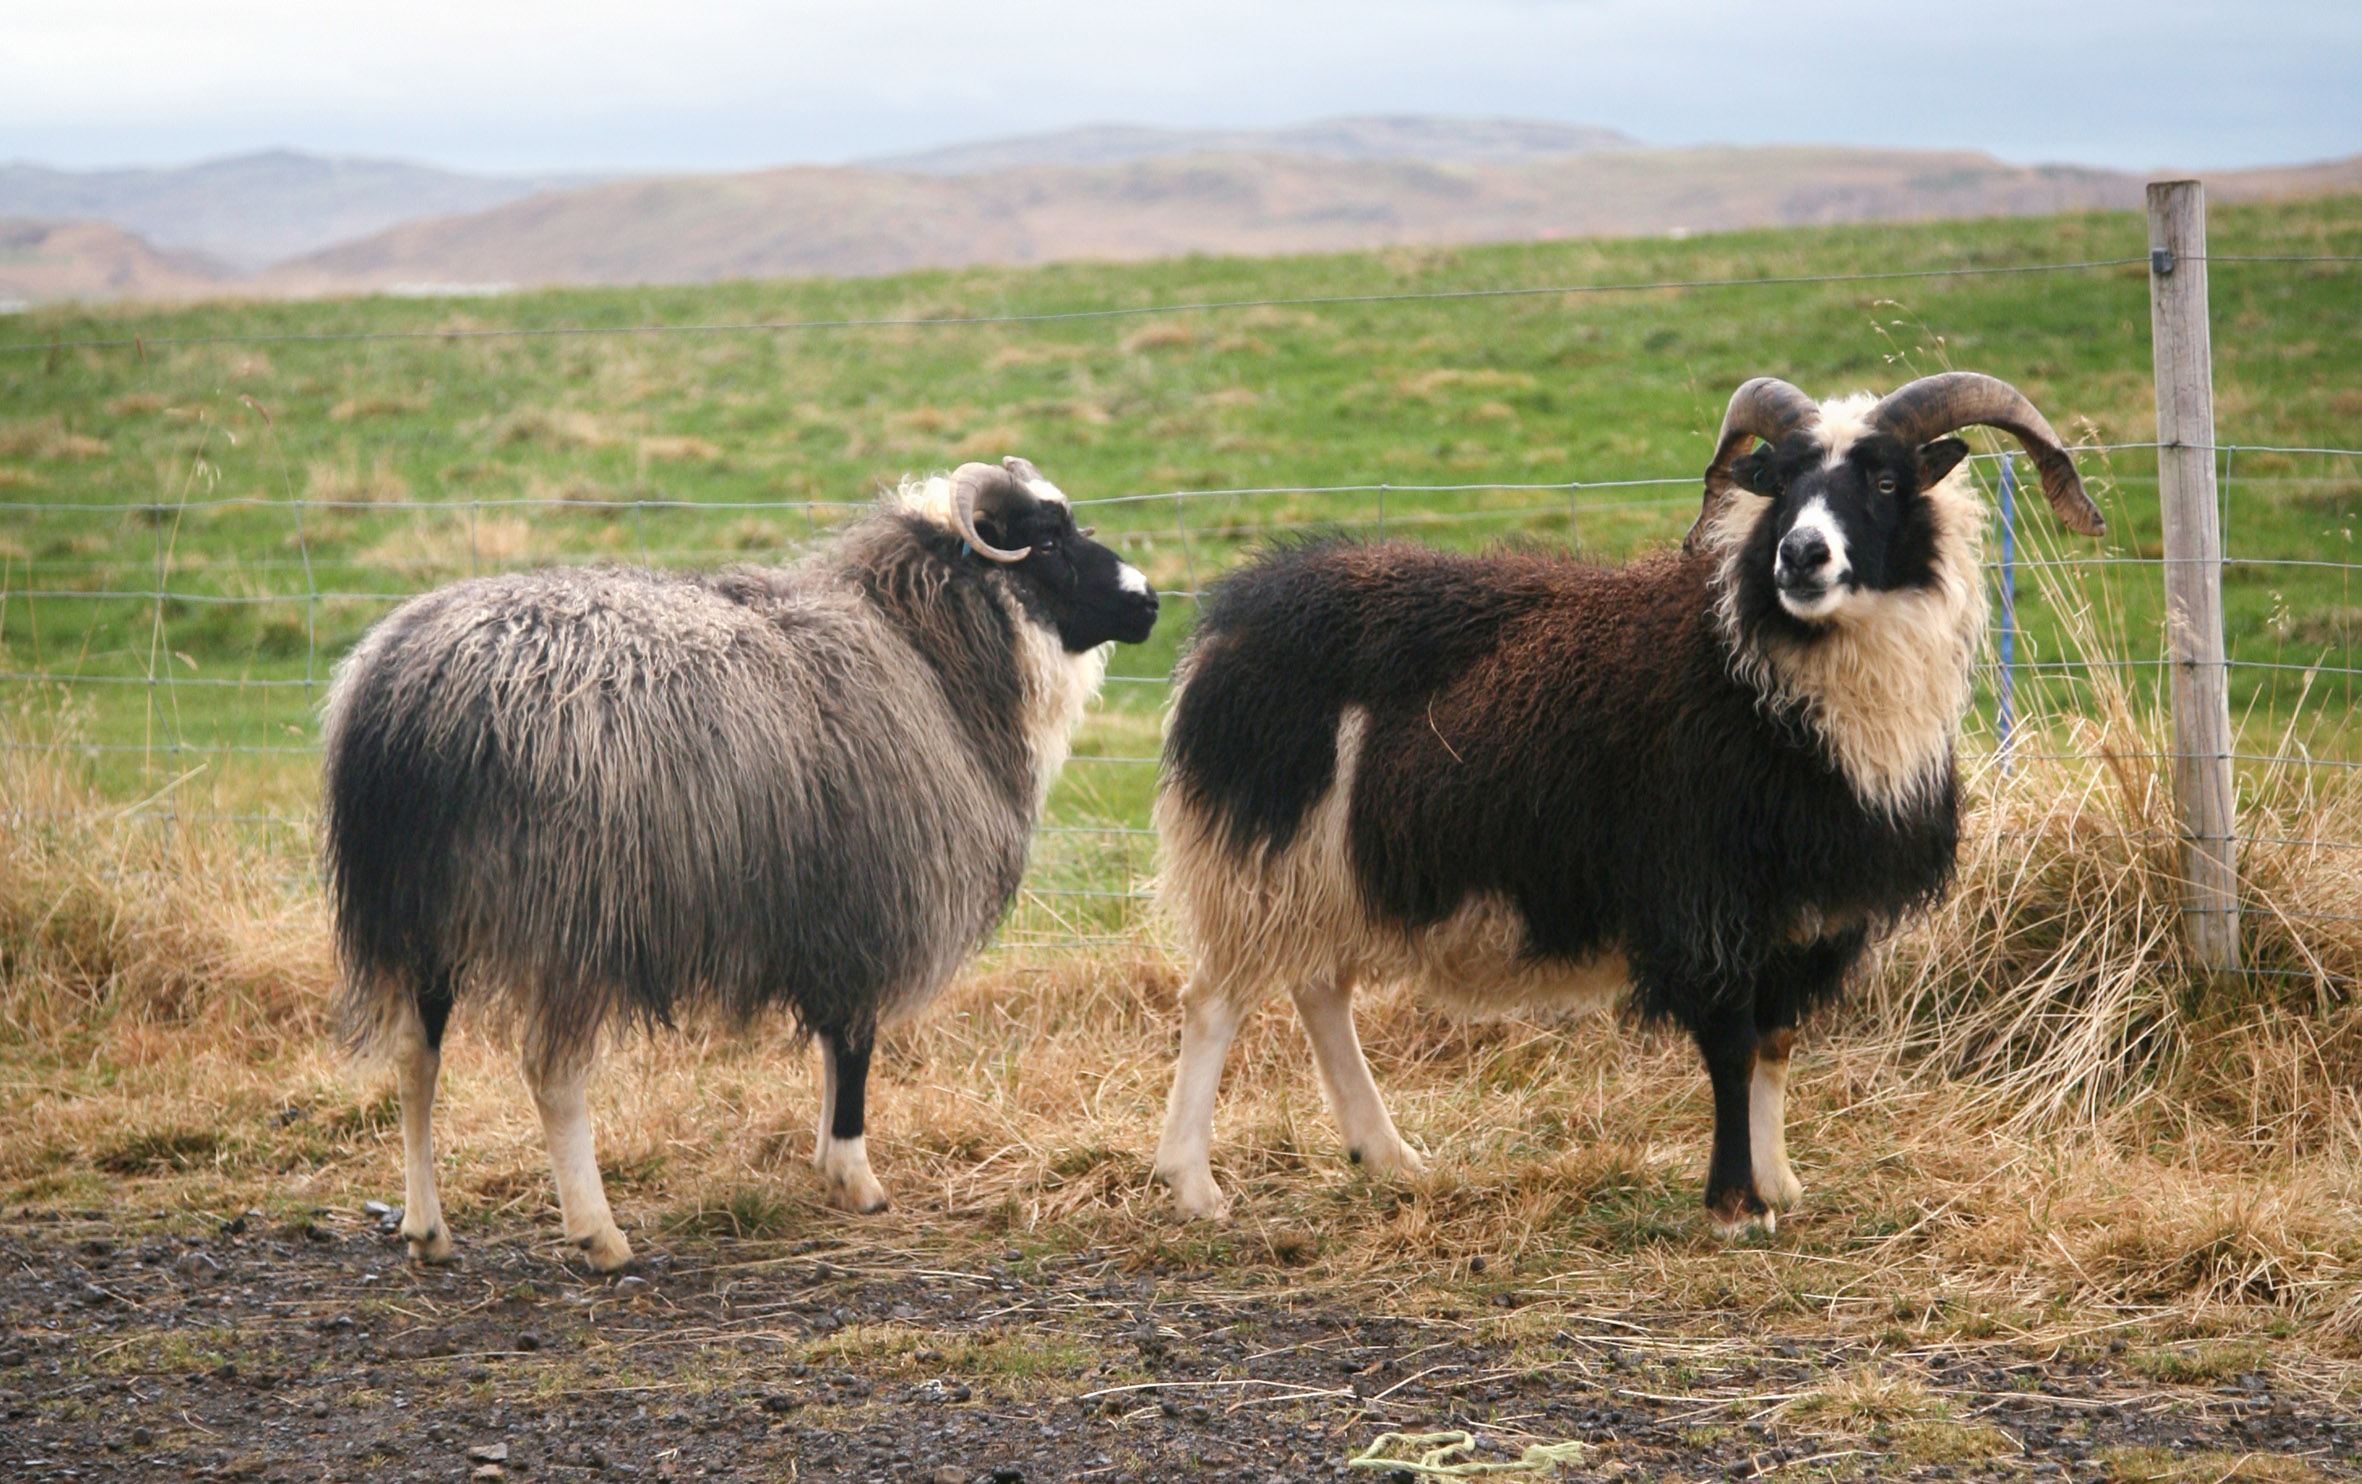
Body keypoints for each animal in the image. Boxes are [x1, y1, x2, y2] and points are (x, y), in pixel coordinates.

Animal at [323, 456, 1158, 1270]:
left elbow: (832, 1045)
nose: (1149, 603)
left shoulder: (828, 906)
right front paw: (856, 1178)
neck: (926, 654)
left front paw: (826, 1163)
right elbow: (853, 1044)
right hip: (571, 911)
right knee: (550, 1074)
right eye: (1044, 539)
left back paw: (427, 1231)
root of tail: (409, 701)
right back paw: (600, 1237)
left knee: (415, 1054)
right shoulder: (874, 899)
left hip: (417, 908)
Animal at [1150, 373, 2104, 1232]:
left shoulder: (1801, 915)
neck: (1759, 672)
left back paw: (1389, 1158)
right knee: (1215, 1002)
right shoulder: (1704, 900)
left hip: (1333, 867)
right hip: (1264, 847)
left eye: (1885, 482)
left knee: (1318, 987)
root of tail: (1231, 618)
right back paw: (1194, 1187)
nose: (1799, 555)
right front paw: (1734, 1206)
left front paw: (1780, 1184)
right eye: (1782, 482)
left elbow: (1774, 1047)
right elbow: (1729, 1050)